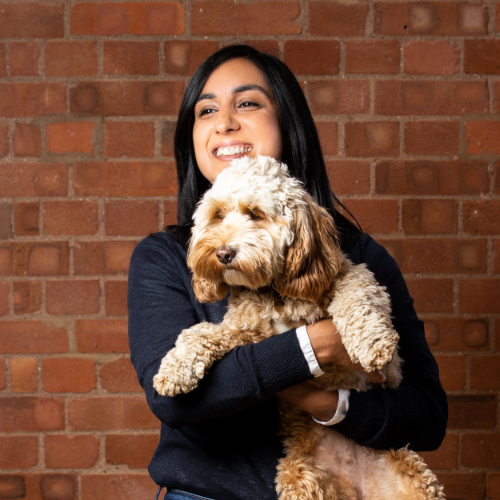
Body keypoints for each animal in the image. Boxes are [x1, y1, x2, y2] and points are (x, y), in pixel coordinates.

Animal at [153, 156, 446, 500]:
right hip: (301, 477)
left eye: (256, 214)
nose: (223, 253)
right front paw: (175, 369)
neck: (275, 292)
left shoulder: (349, 273)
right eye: (218, 215)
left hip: (410, 475)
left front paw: (372, 344)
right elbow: (199, 333)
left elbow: (358, 296)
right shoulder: (246, 331)